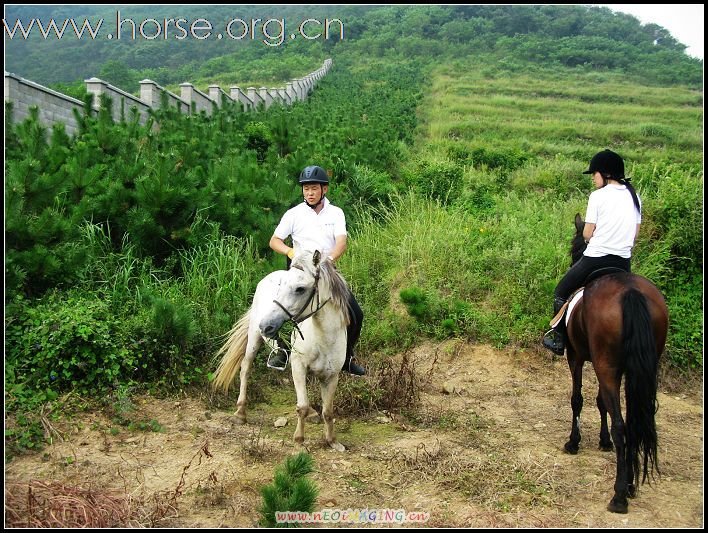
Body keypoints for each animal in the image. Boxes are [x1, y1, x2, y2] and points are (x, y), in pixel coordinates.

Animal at [212, 251, 352, 450]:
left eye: (300, 289)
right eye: (282, 287)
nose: (266, 325)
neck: (324, 338)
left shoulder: (332, 376)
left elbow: (328, 411)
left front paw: (332, 441)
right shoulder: (298, 366)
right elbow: (302, 406)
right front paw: (299, 441)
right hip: (254, 337)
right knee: (245, 368)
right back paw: (240, 413)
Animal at [564, 214, 668, 512]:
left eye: (573, 249)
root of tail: (631, 292)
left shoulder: (576, 356)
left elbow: (578, 398)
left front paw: (574, 442)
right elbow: (601, 402)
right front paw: (603, 441)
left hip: (605, 365)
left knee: (622, 424)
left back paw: (619, 494)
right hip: (641, 368)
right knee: (635, 420)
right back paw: (631, 485)